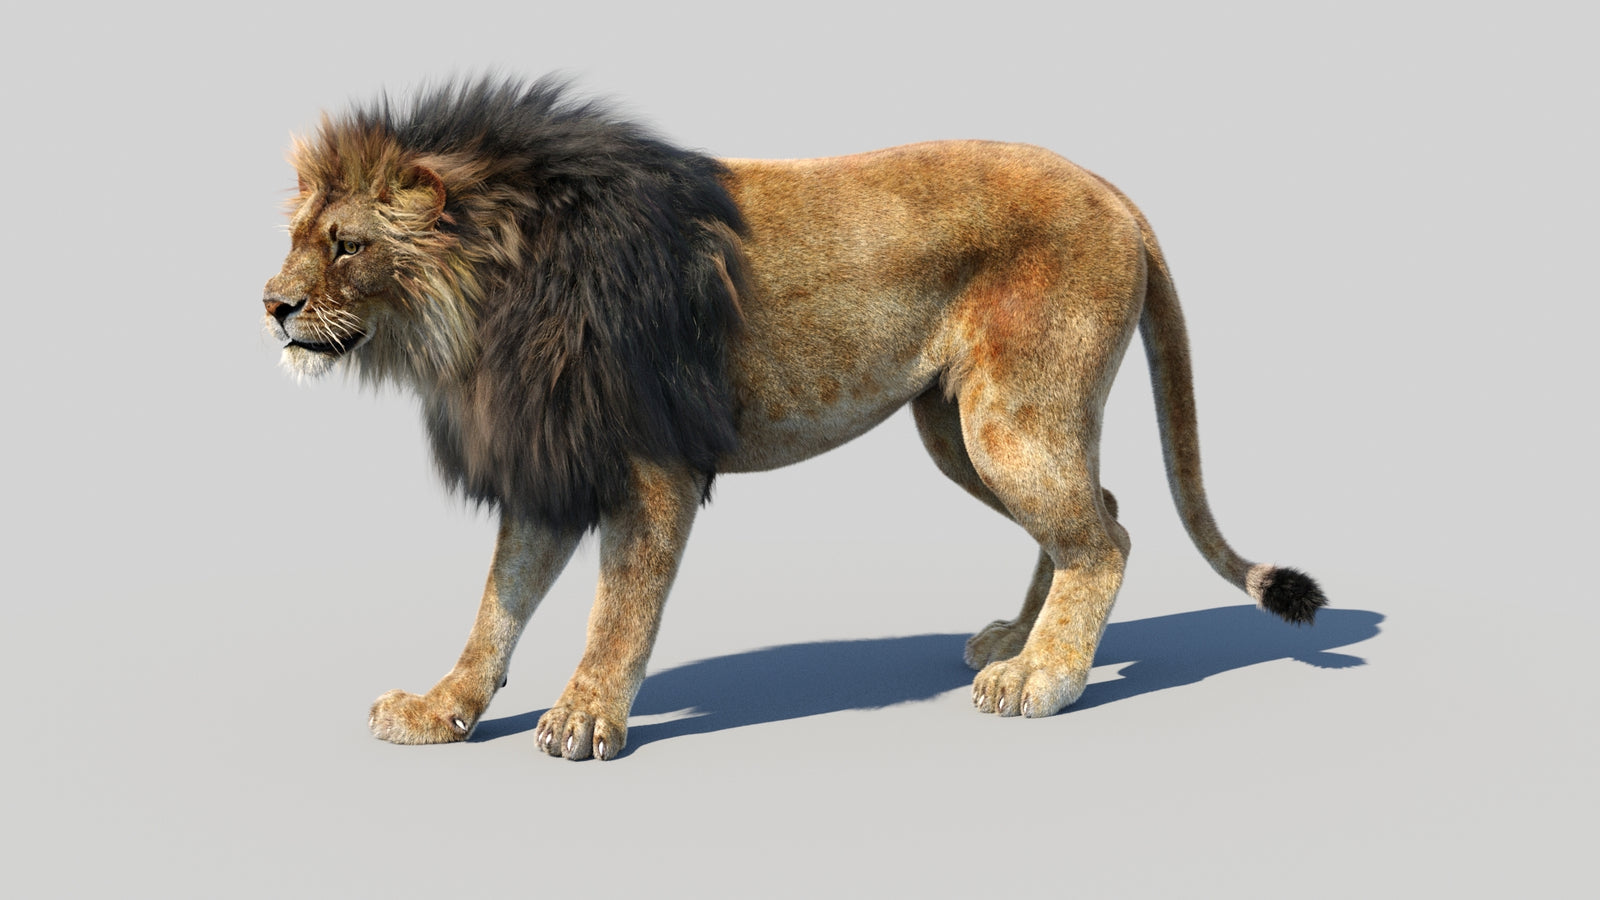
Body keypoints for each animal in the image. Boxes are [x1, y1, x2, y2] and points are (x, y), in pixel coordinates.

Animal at [263, 77, 1326, 761]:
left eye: (348, 245)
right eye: (297, 236)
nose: (270, 304)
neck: (489, 297)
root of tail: (1113, 190)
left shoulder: (648, 468)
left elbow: (618, 611)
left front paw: (586, 719)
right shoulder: (553, 463)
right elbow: (497, 607)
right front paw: (441, 709)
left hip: (1011, 421)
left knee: (1104, 540)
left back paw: (1042, 680)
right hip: (959, 431)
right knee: (1095, 509)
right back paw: (1019, 642)